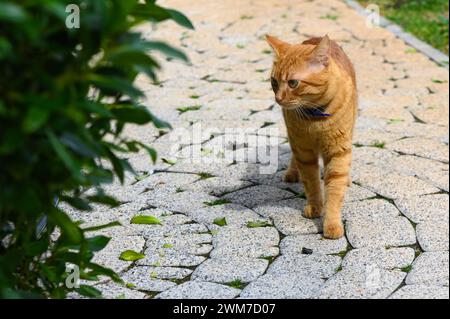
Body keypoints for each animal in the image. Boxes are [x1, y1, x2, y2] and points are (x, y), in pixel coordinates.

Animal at [266, 35, 356, 240]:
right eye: (274, 82)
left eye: (293, 83)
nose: (278, 98)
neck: (315, 118)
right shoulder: (303, 151)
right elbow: (312, 183)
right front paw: (315, 208)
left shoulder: (338, 151)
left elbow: (335, 188)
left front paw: (331, 224)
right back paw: (292, 173)